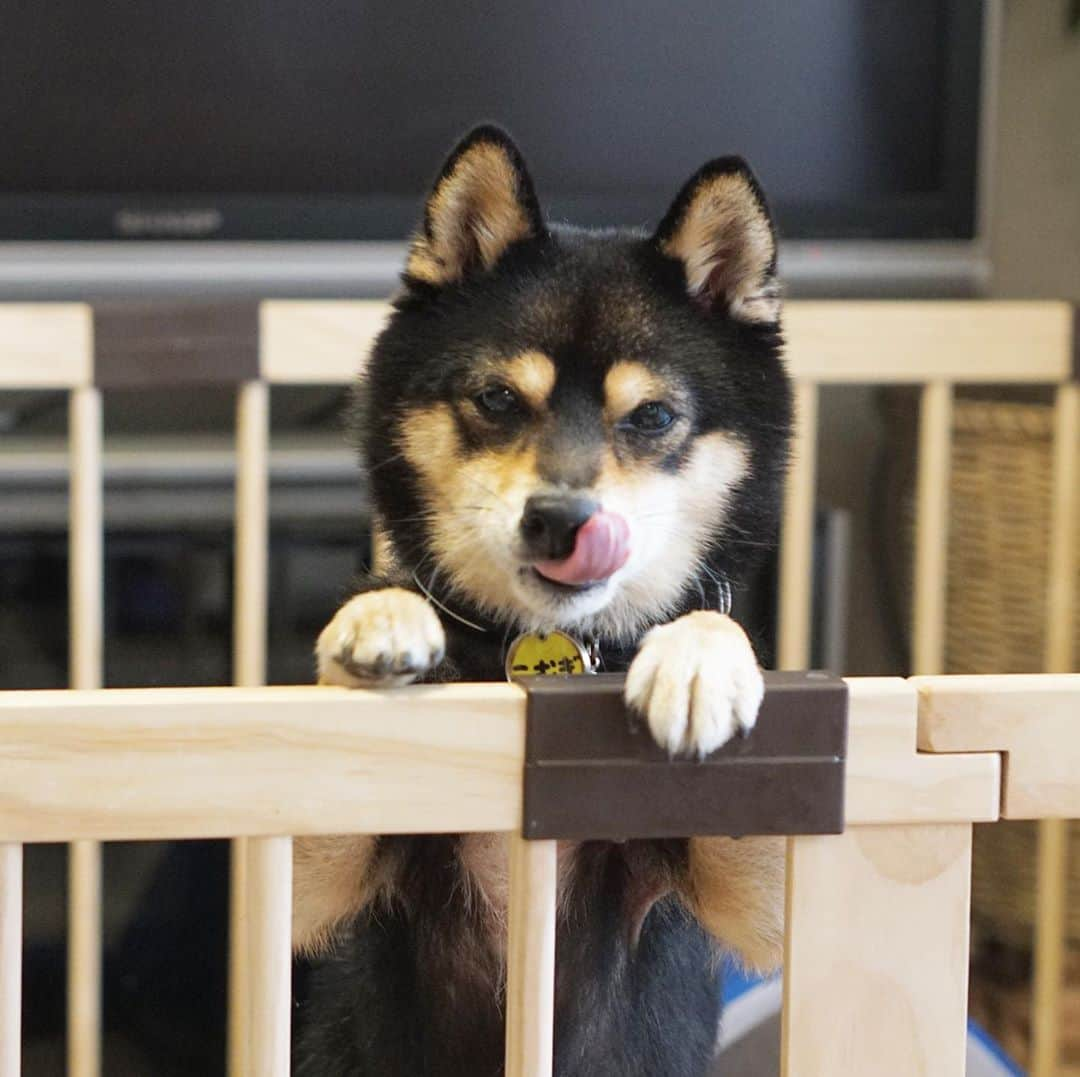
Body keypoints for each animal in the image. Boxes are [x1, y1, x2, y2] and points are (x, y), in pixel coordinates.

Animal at [293, 128, 794, 1075]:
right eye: (496, 398)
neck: (543, 656)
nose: (562, 519)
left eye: (652, 417)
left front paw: (699, 661)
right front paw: (382, 615)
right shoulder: (319, 887)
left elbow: (714, 619)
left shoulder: (755, 903)